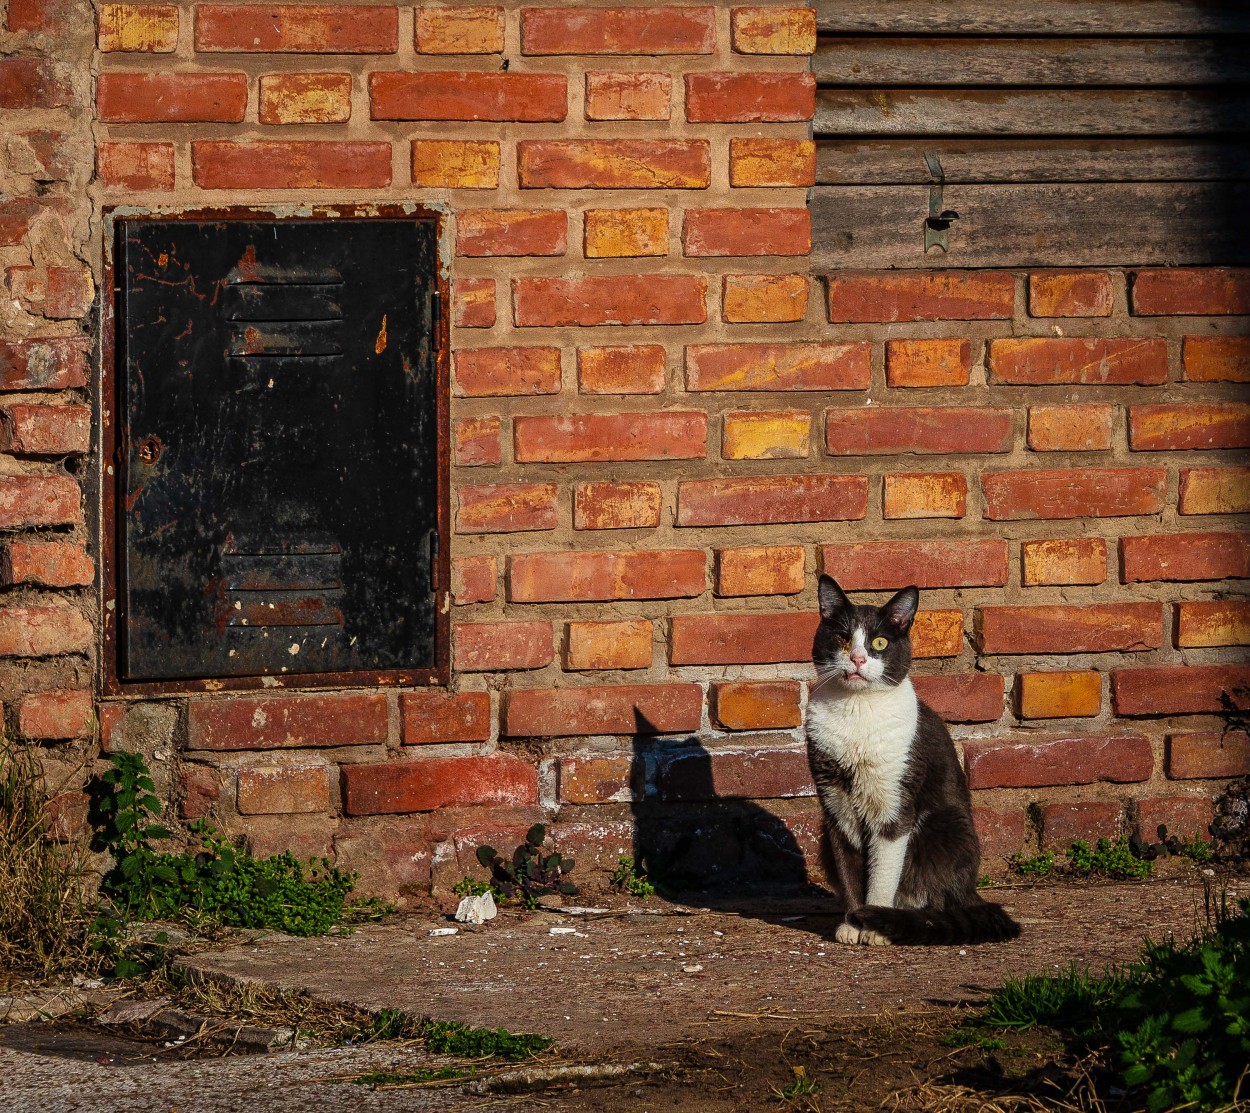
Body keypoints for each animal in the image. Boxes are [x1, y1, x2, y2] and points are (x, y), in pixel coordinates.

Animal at [805, 572, 1020, 945]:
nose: (858, 659)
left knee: (936, 898)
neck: (856, 710)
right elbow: (850, 872)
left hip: (946, 828)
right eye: (842, 638)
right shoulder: (835, 805)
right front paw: (851, 923)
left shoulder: (895, 804)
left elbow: (882, 875)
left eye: (879, 643)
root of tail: (972, 891)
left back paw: (908, 922)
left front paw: (873, 924)